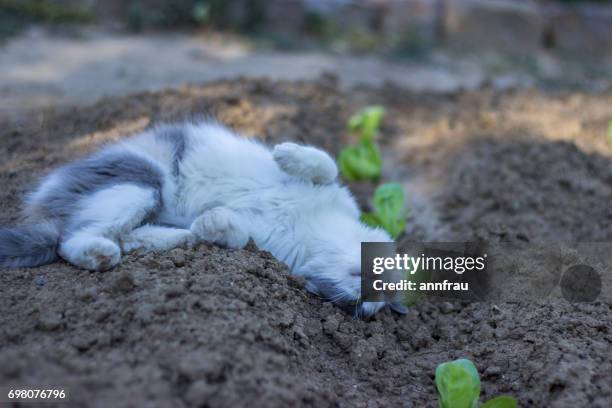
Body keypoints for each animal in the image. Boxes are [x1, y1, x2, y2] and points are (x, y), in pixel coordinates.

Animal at [0, 121, 400, 316]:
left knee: (102, 238)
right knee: (76, 236)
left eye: (360, 308)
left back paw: (178, 238)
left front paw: (213, 224)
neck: (312, 232)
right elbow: (324, 163)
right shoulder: (329, 186)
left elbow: (239, 234)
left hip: (139, 196)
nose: (368, 289)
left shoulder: (267, 244)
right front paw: (285, 152)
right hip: (144, 181)